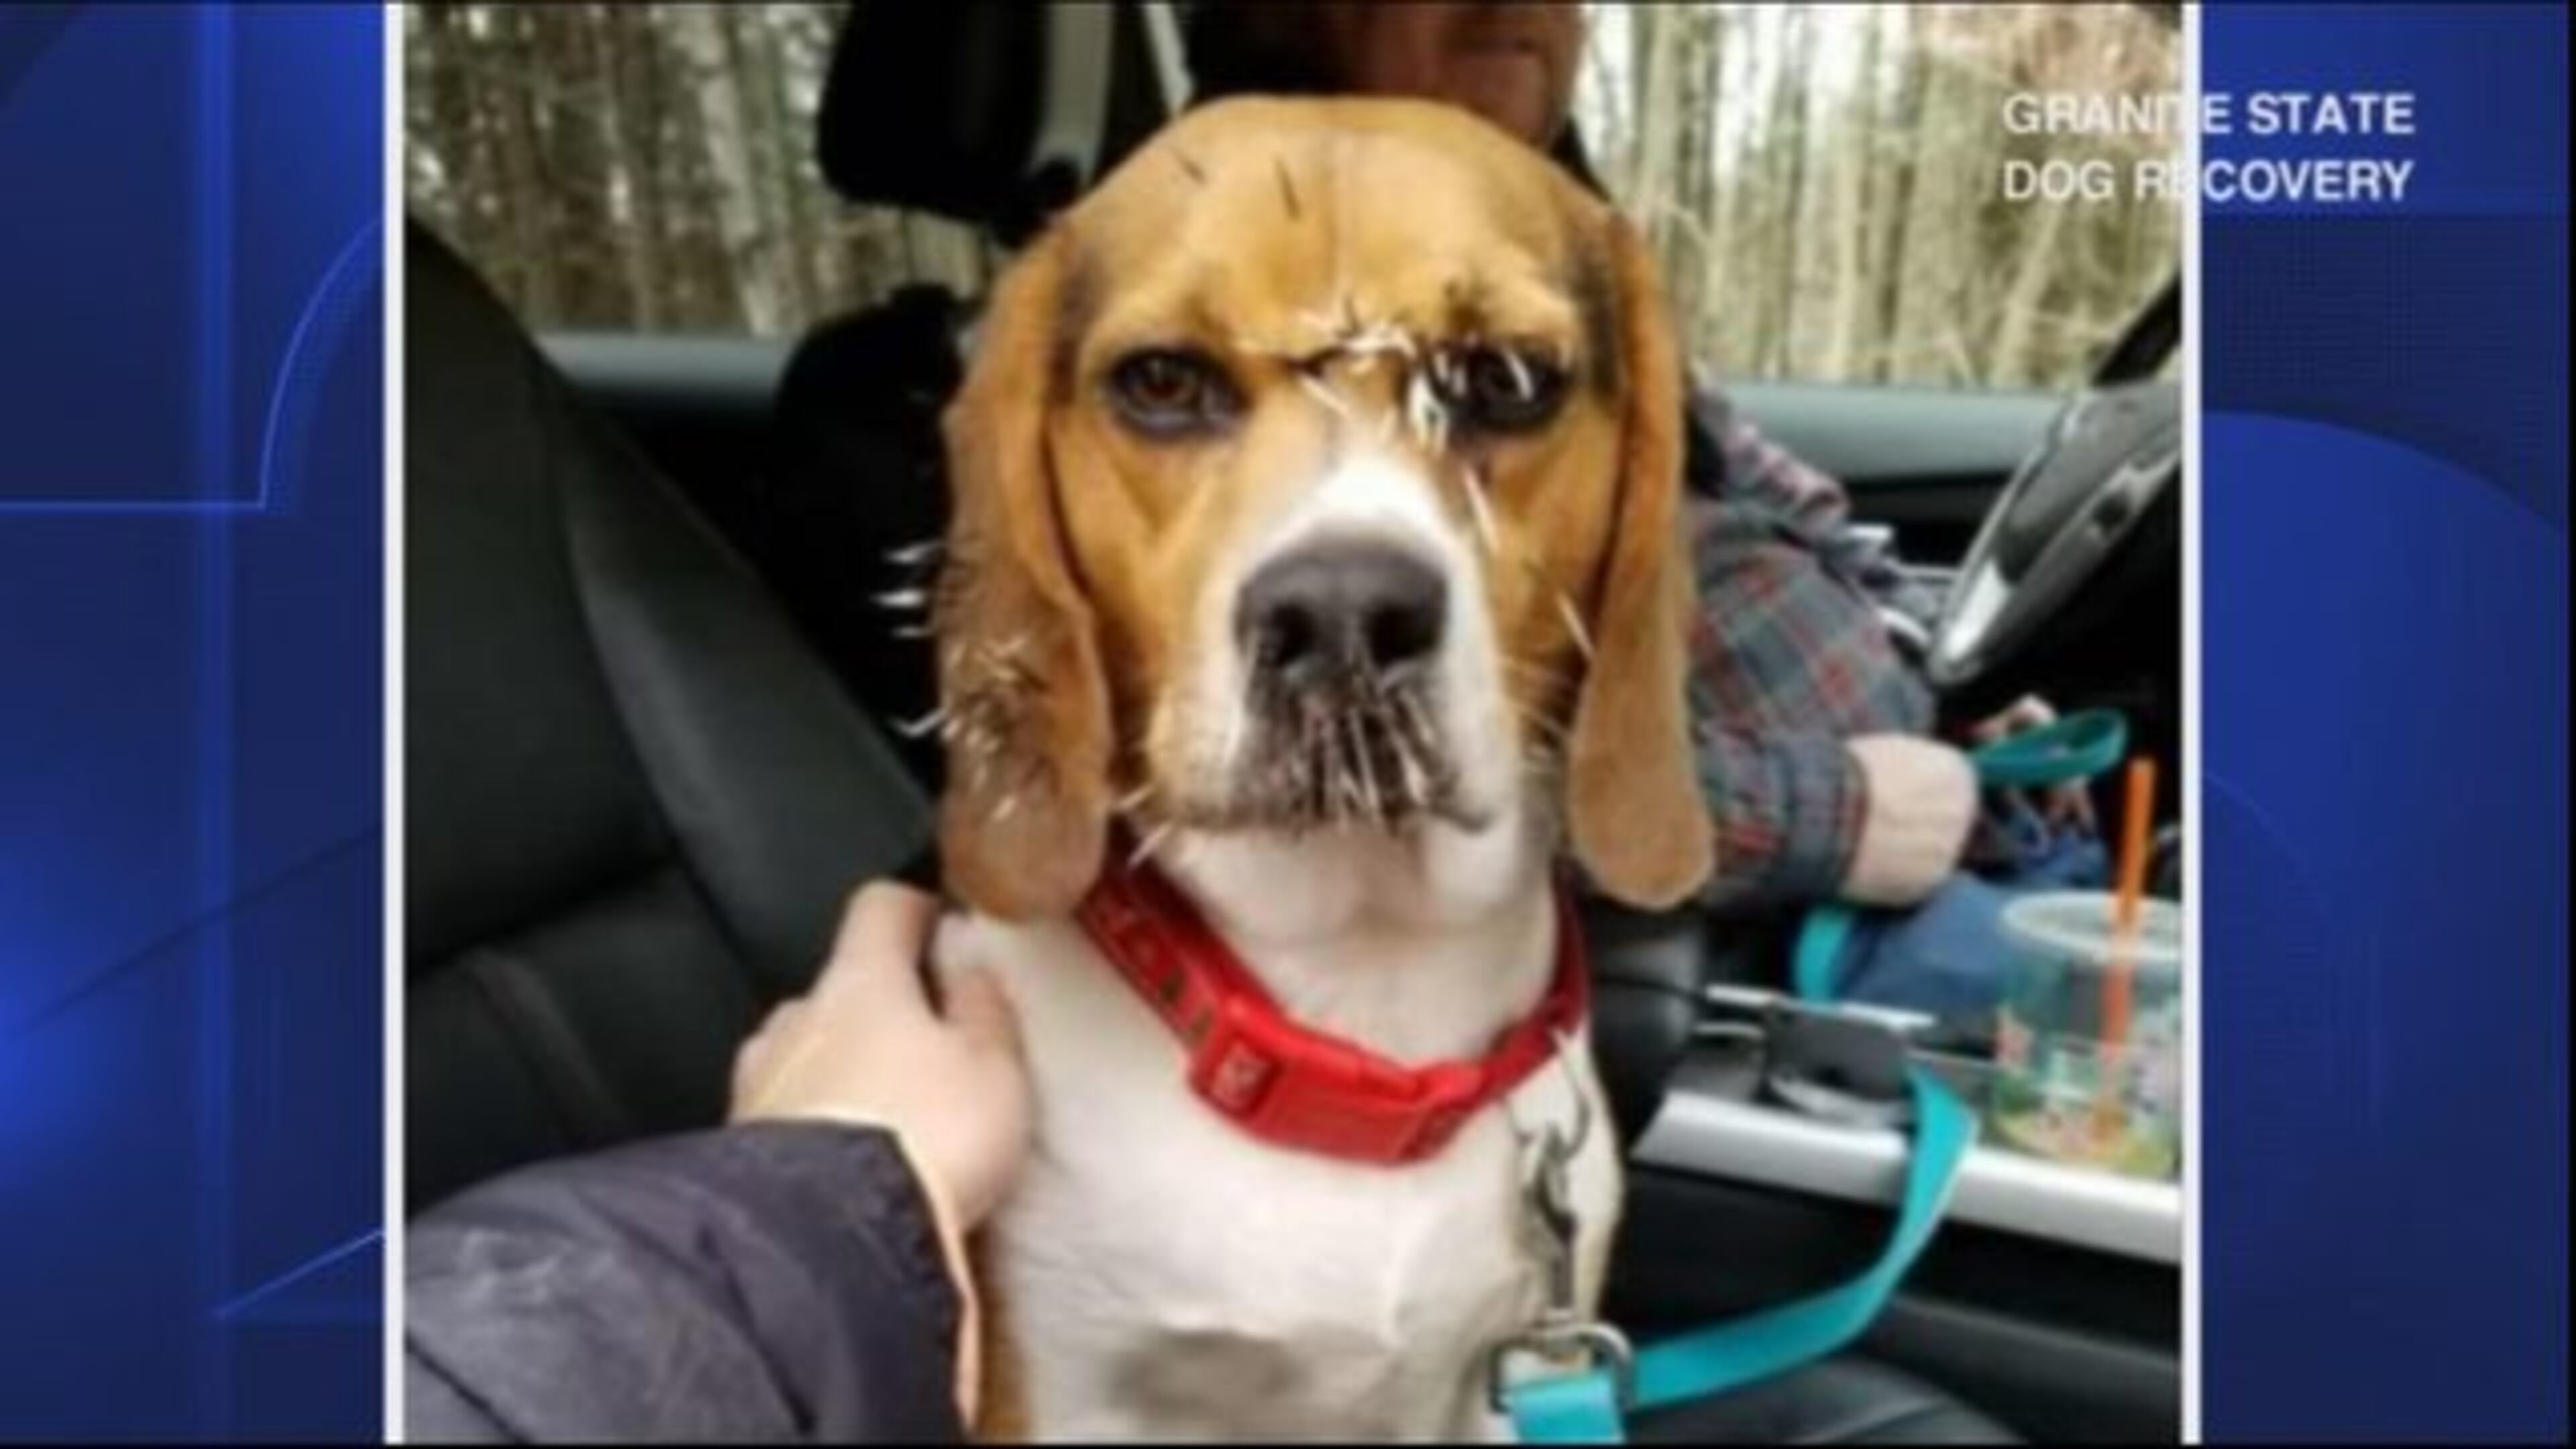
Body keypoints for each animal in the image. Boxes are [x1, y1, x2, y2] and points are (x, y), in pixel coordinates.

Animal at [927, 96, 1713, 1441]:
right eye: (1163, 381)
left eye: (1503, 381)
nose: (1343, 615)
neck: (1360, 1002)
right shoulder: (1059, 1394)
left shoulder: (1512, 1381)